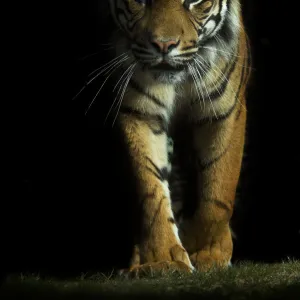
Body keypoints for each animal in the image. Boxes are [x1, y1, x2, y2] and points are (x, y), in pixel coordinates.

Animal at [100, 0, 251, 274]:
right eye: (140, 1)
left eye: (193, 2)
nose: (163, 45)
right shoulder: (141, 113)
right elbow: (151, 192)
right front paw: (163, 259)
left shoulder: (224, 110)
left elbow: (218, 191)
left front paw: (208, 253)